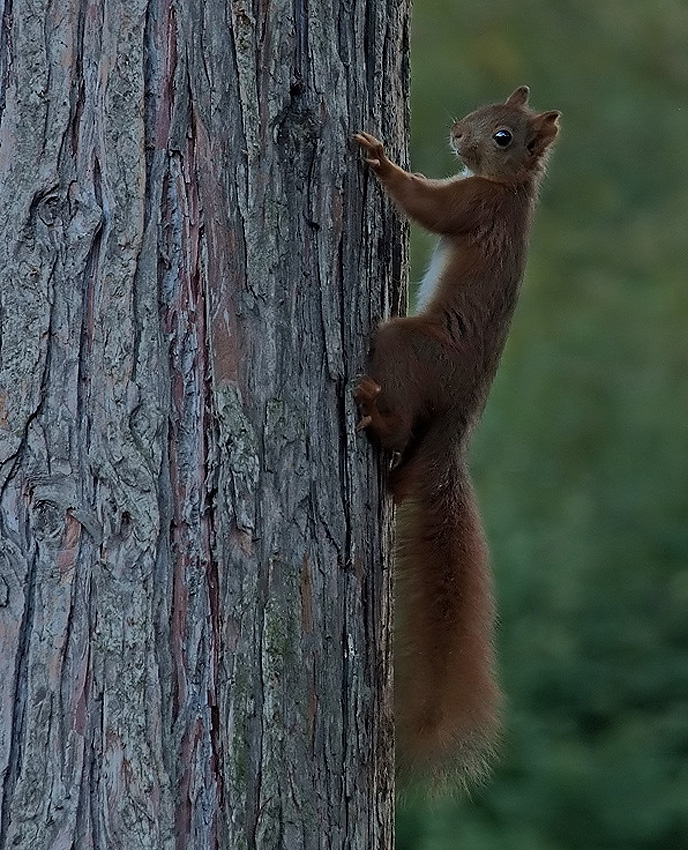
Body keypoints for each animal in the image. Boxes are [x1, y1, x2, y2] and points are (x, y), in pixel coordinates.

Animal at [354, 88, 560, 788]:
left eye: (503, 136)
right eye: (484, 107)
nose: (455, 133)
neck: (513, 189)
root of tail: (458, 422)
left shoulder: (473, 207)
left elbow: (429, 205)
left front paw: (380, 159)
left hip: (408, 347)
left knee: (394, 405)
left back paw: (372, 412)